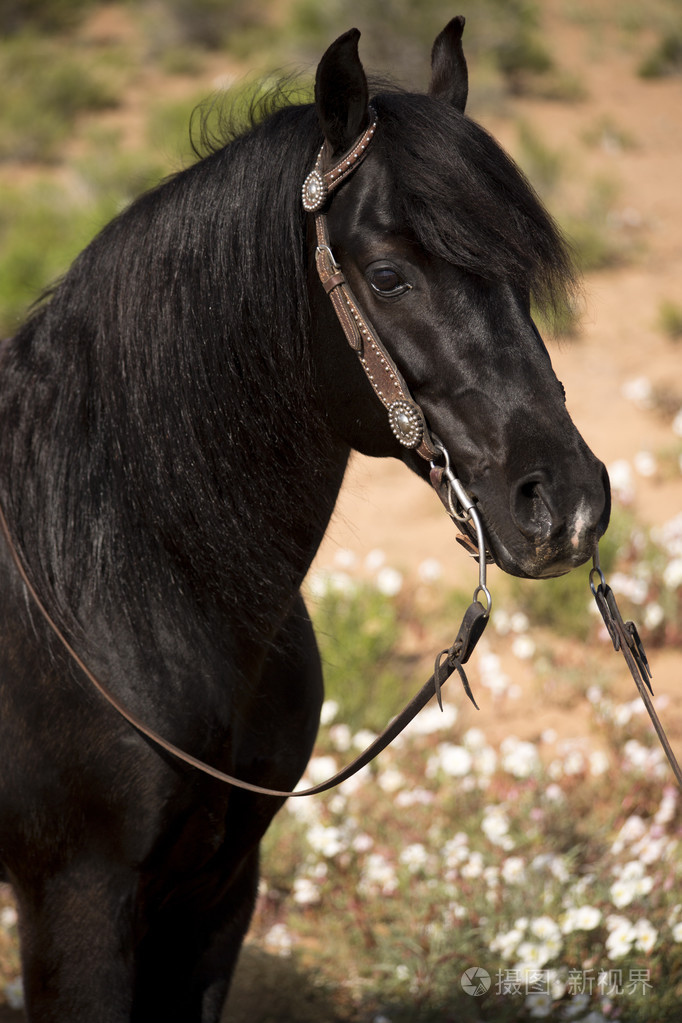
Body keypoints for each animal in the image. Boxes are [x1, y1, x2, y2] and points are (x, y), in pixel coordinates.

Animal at [0, 18, 609, 1023]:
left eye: (518, 274)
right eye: (390, 276)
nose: (569, 505)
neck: (120, 582)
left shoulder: (218, 890)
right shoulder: (77, 903)